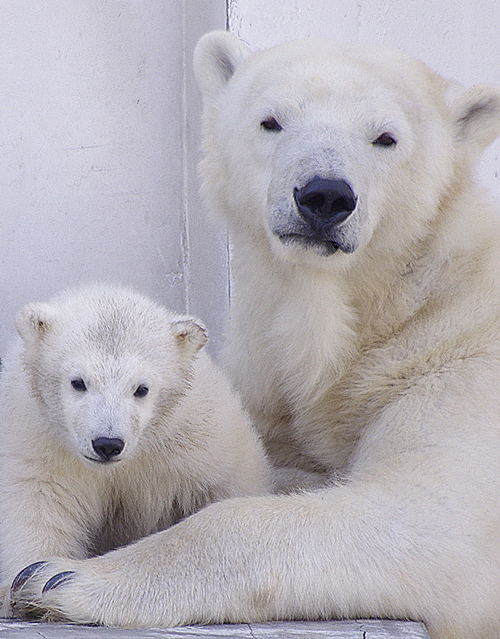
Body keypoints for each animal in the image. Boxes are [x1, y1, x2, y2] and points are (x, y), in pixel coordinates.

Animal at [10, 33, 500, 639]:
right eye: (272, 121)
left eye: (386, 137)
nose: (324, 196)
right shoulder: (276, 387)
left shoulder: (456, 362)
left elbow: (430, 520)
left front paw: (63, 578)